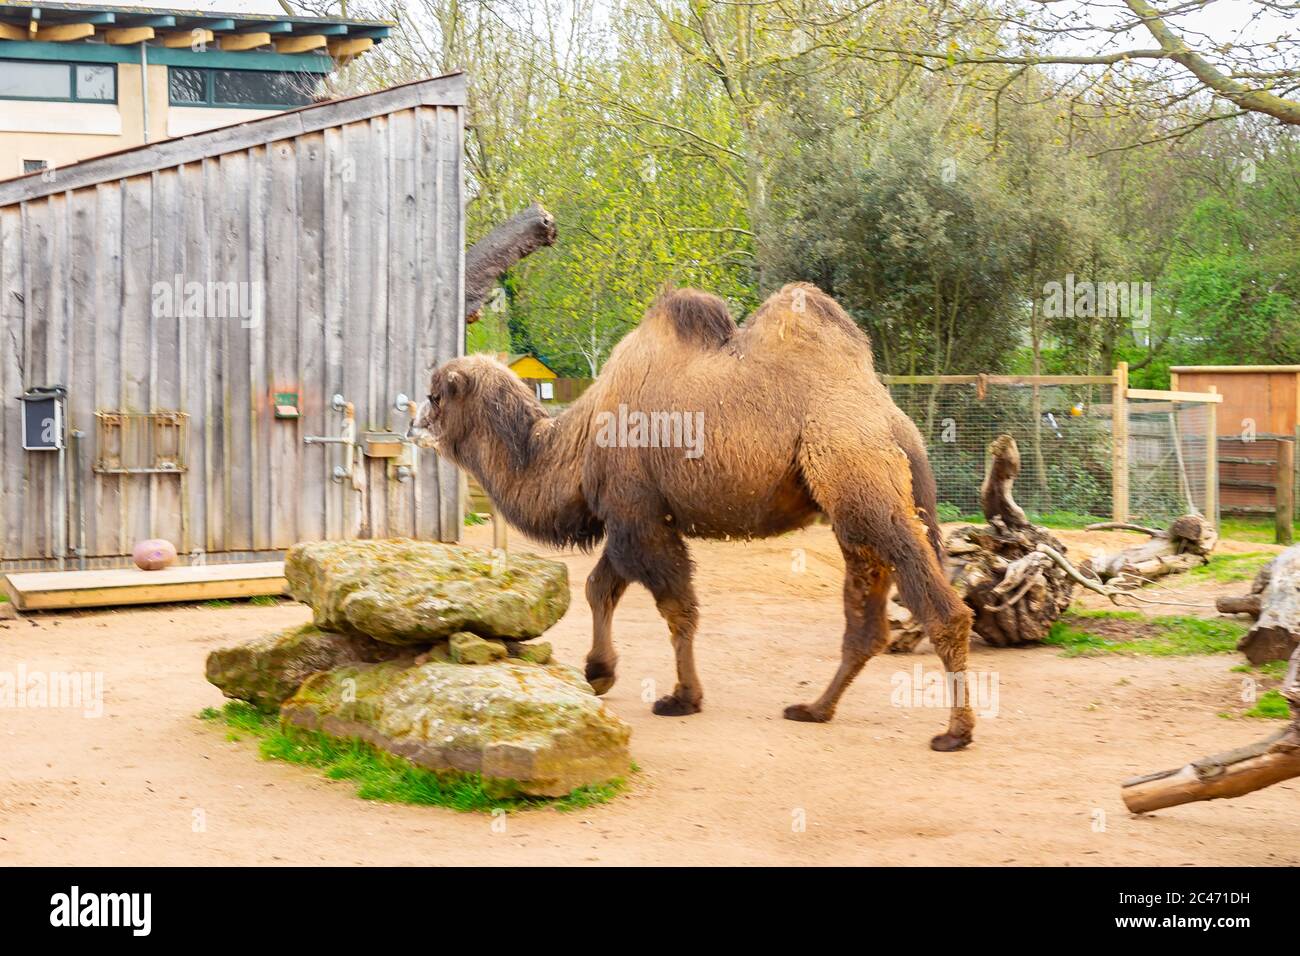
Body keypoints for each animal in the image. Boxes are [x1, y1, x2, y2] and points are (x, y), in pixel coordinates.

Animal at [413, 283, 975, 750]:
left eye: (435, 395)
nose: (414, 423)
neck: (574, 446)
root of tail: (894, 420)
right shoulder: (632, 516)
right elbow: (601, 587)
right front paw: (599, 672)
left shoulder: (637, 513)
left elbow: (674, 606)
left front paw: (681, 697)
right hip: (862, 501)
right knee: (867, 617)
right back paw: (815, 709)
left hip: (857, 473)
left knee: (937, 601)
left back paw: (955, 731)